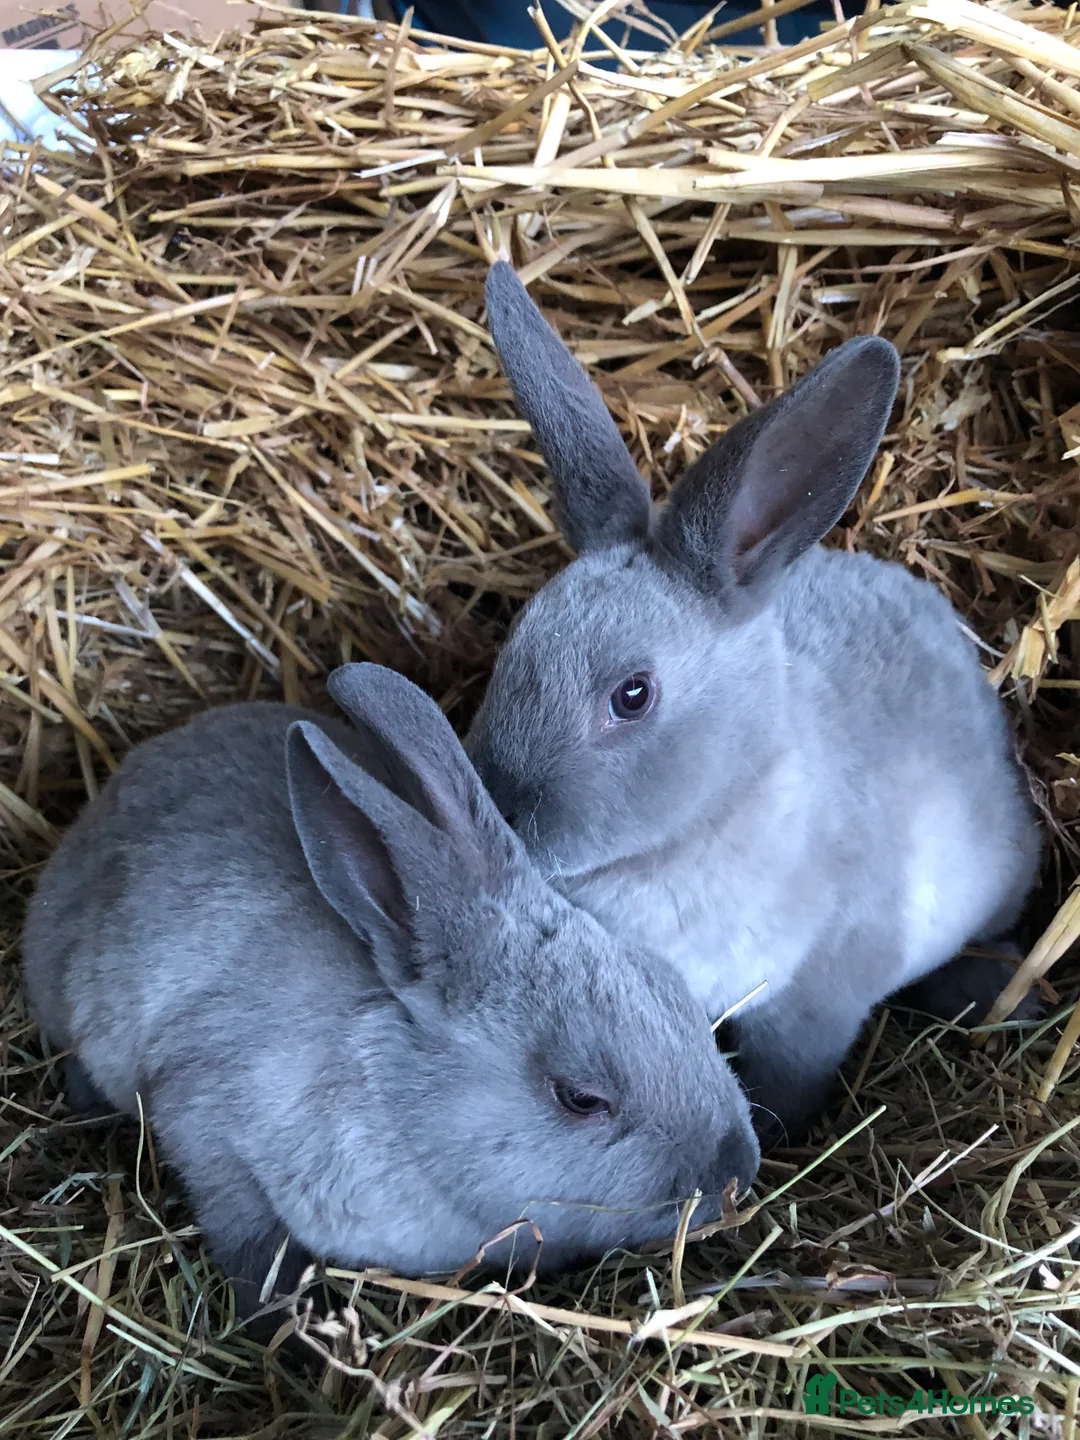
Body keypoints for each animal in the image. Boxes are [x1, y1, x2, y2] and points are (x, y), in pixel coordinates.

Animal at [21, 661, 760, 1329]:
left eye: (676, 994)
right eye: (580, 1097)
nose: (738, 1169)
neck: (392, 1093)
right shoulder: (206, 1124)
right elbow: (253, 1246)